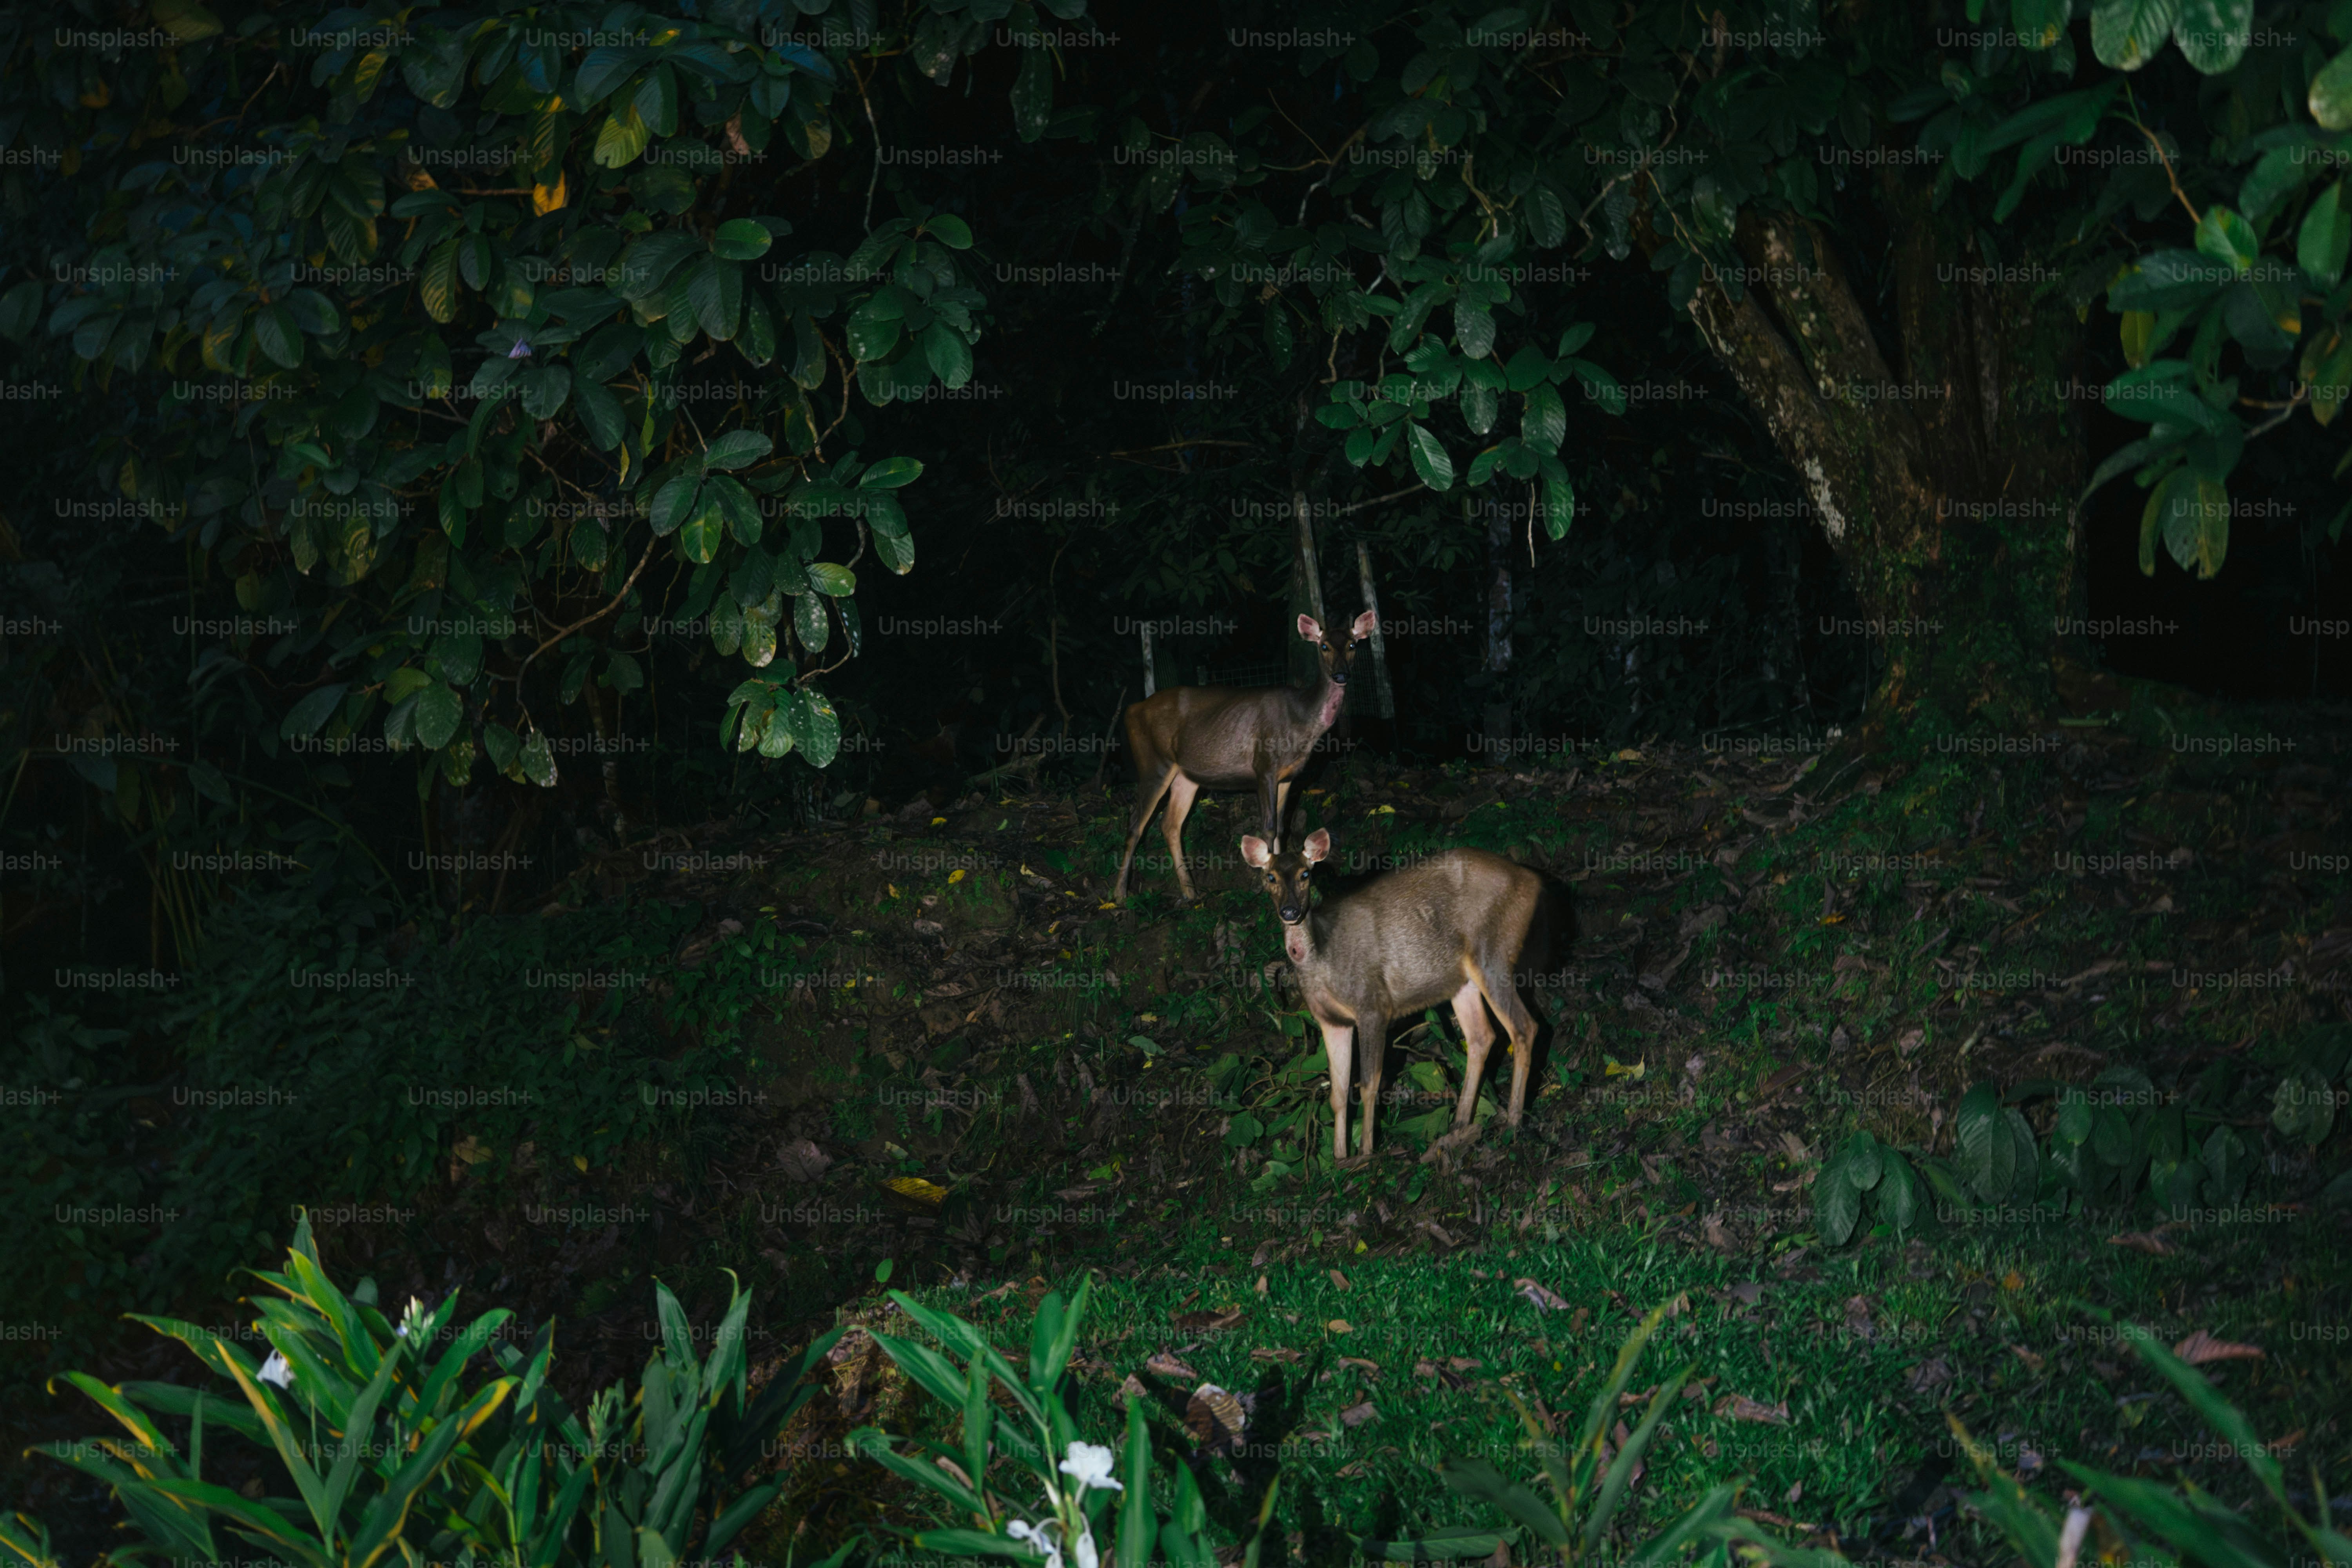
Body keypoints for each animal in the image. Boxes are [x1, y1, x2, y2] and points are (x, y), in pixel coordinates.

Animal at [1111, 610, 1377, 902]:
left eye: (1352, 645)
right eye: (1324, 646)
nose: (1341, 675)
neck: (1302, 724)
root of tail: (1131, 710)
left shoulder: (1289, 777)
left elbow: (1282, 829)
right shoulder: (1265, 767)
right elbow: (1268, 827)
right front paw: (1262, 883)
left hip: (1186, 775)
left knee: (1170, 823)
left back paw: (1191, 893)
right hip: (1153, 762)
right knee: (1136, 824)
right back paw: (1119, 894)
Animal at [1239, 827, 1555, 1163]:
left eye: (1305, 874)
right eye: (1270, 877)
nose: (1290, 911)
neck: (1322, 956)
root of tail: (1531, 880)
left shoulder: (1373, 1005)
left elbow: (1369, 1084)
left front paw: (1366, 1152)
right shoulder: (1331, 1020)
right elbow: (1338, 1093)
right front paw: (1340, 1158)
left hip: (1493, 953)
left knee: (1524, 1027)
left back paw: (1513, 1121)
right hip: (1461, 980)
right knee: (1482, 1036)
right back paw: (1459, 1125)